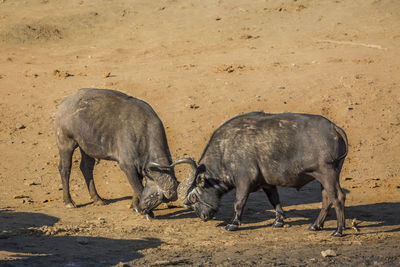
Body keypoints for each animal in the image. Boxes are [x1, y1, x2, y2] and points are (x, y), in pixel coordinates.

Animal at [55, 88, 178, 218]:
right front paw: (146, 213)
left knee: (86, 168)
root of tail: (64, 103)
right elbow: (138, 188)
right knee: (65, 168)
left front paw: (135, 205)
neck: (143, 131)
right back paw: (69, 201)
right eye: (154, 195)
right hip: (66, 143)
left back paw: (97, 199)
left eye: (161, 200)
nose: (144, 209)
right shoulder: (127, 166)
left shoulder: (139, 167)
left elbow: (137, 186)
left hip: (87, 148)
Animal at [175, 112, 346, 238]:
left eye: (193, 197)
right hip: (324, 177)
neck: (225, 151)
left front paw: (233, 224)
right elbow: (275, 201)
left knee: (338, 198)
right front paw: (279, 221)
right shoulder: (267, 184)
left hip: (327, 174)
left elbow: (239, 203)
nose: (203, 217)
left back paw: (338, 230)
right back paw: (316, 225)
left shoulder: (243, 182)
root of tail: (333, 127)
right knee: (327, 199)